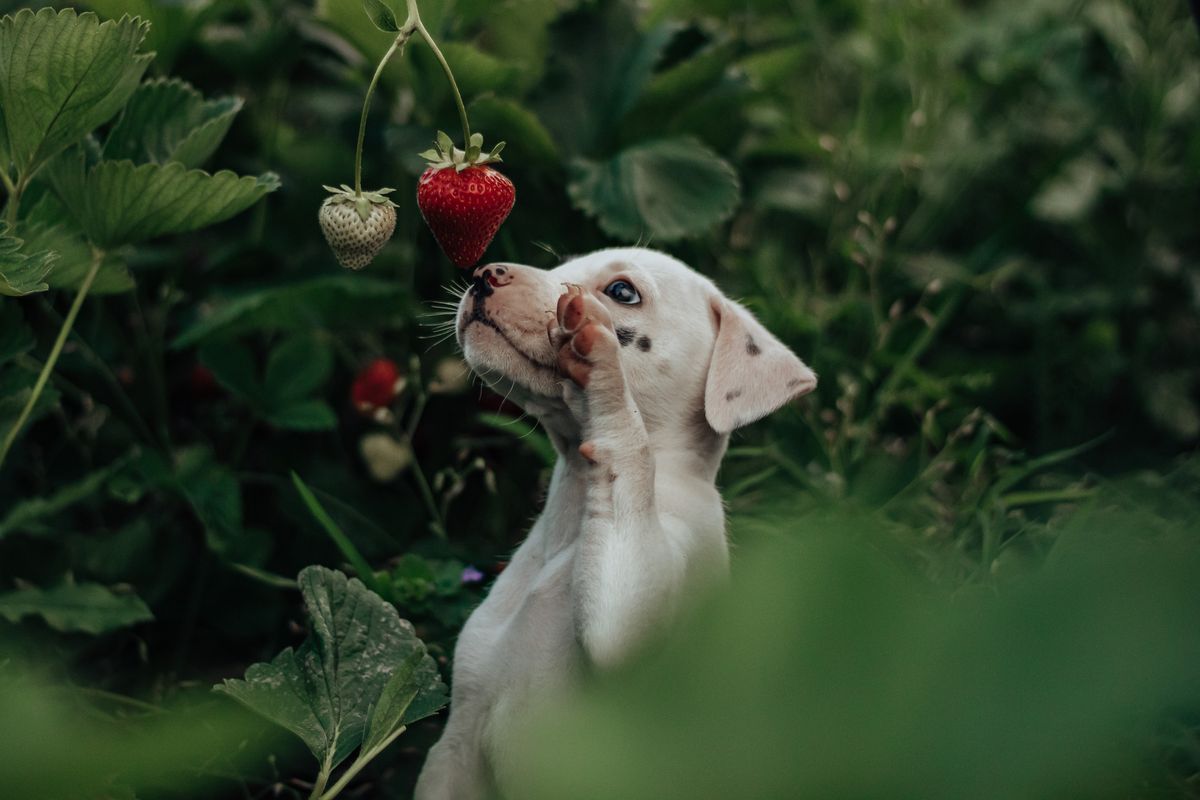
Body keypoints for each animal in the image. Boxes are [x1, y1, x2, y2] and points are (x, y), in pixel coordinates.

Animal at [412, 247, 816, 796]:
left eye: (622, 292)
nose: (485, 274)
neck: (575, 518)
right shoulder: (454, 749)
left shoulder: (633, 619)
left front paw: (603, 369)